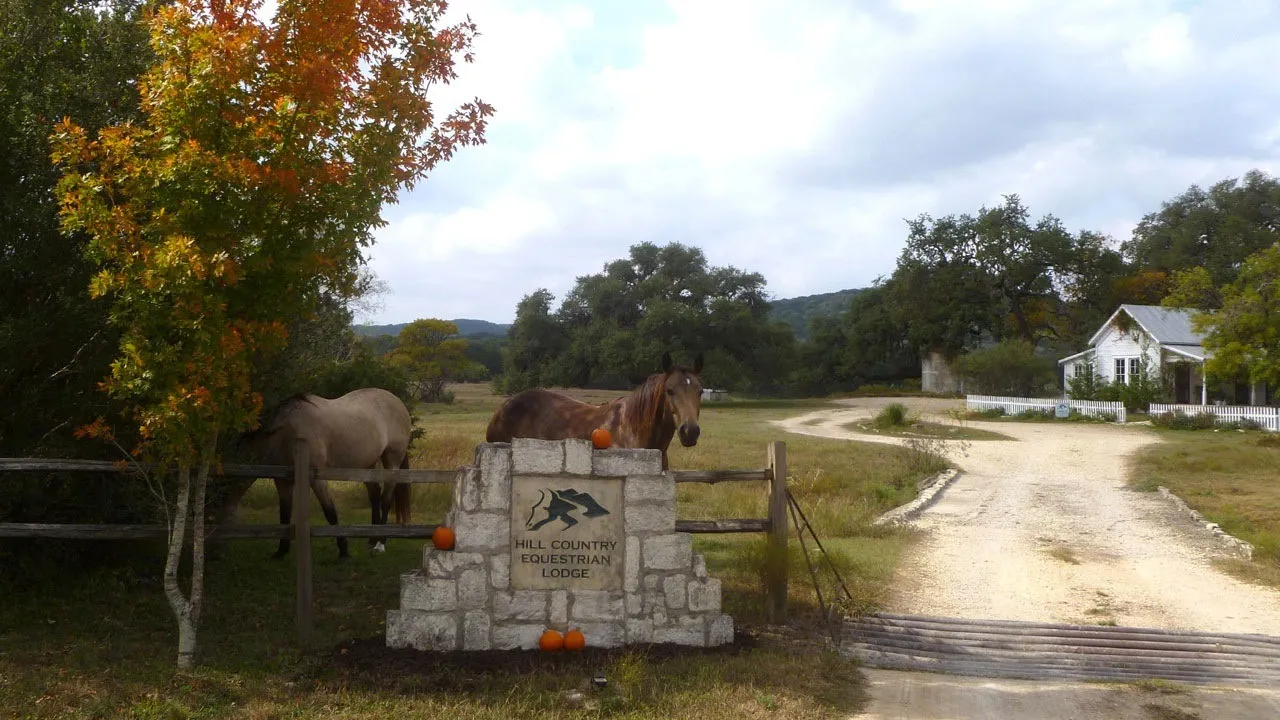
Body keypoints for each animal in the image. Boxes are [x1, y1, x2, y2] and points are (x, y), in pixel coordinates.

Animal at [245, 387, 414, 559]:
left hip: (392, 461)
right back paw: (372, 539)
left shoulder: (316, 479)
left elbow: (330, 512)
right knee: (375, 495)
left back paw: (380, 543)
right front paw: (281, 551)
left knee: (386, 499)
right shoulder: (282, 481)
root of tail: (397, 401)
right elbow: (284, 514)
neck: (288, 431)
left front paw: (344, 551)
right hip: (367, 465)